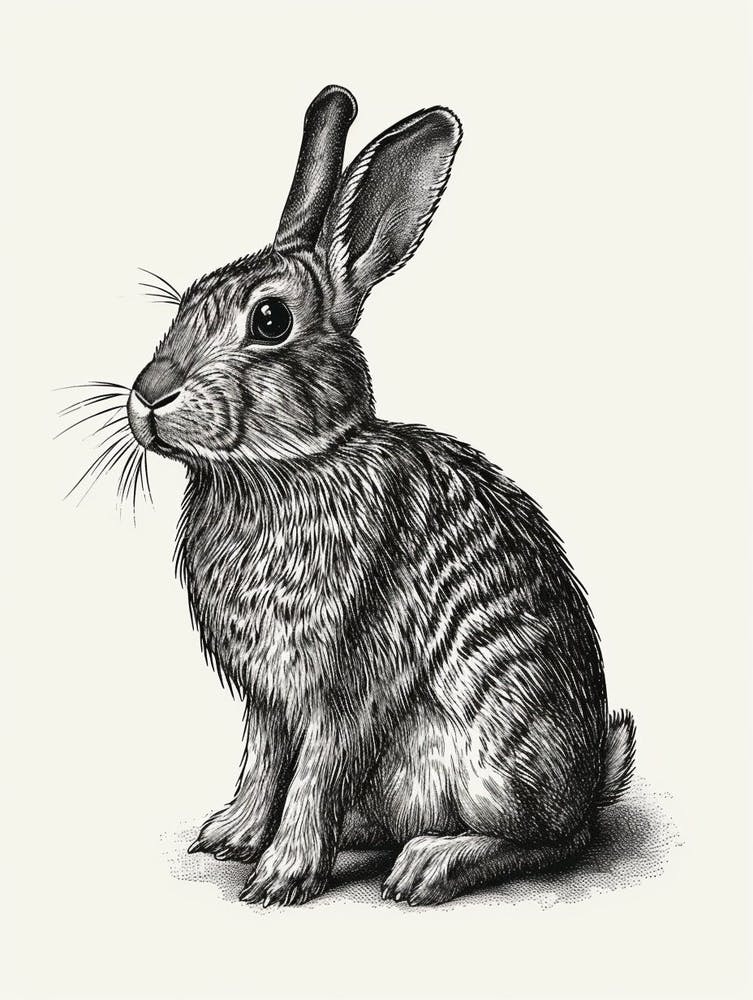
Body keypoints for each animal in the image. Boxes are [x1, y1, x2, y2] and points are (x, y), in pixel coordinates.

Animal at [123, 84, 636, 906]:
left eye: (270, 320)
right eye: (187, 299)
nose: (148, 394)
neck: (288, 467)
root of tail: (593, 781)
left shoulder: (345, 681)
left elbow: (313, 771)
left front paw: (281, 875)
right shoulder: (267, 698)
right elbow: (264, 761)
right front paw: (232, 835)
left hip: (492, 756)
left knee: (550, 840)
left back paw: (429, 864)